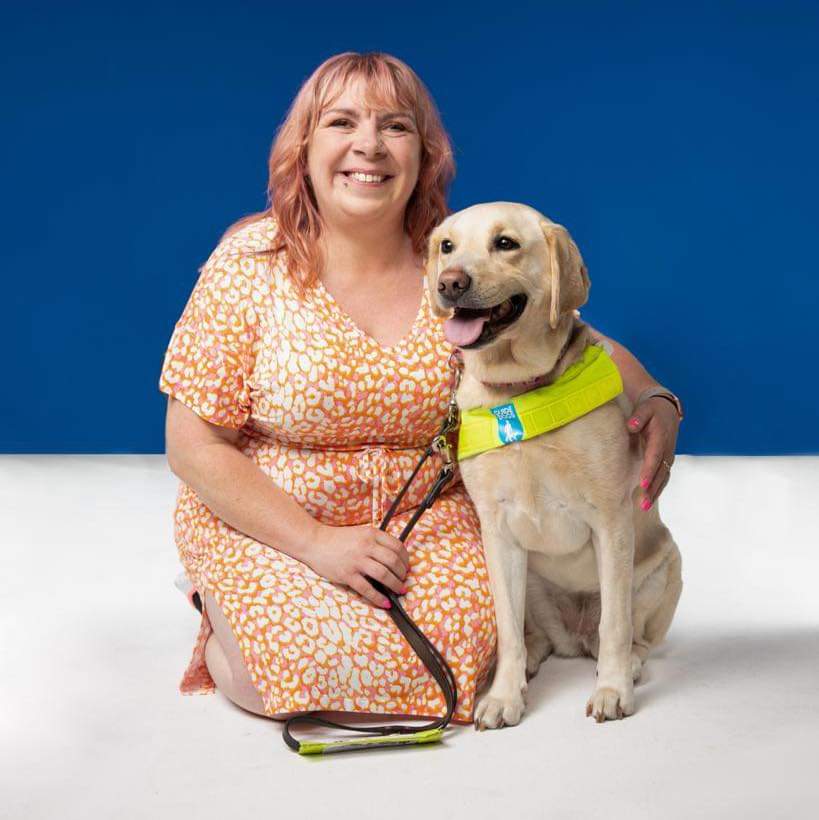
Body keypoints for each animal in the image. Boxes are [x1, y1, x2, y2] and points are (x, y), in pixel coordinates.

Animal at [430, 202, 684, 728]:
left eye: (505, 243)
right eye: (446, 246)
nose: (449, 282)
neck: (520, 393)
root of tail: (574, 636)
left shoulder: (611, 521)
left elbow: (615, 624)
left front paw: (612, 691)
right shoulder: (498, 531)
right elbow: (506, 629)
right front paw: (504, 696)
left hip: (666, 565)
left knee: (630, 635)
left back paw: (624, 665)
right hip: (531, 585)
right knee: (533, 638)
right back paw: (529, 661)